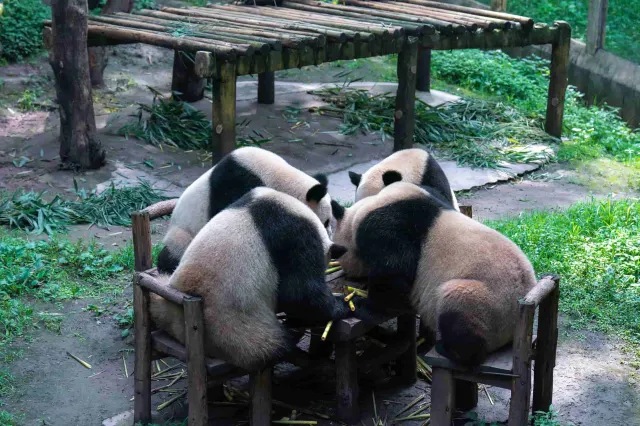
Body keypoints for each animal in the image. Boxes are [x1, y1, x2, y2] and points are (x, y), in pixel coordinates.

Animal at [150, 188, 350, 372]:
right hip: (238, 333)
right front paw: (344, 305)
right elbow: (299, 294)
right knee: (273, 344)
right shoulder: (295, 236)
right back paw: (292, 336)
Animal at [330, 181, 536, 364]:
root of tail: (515, 328)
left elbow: (394, 274)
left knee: (457, 307)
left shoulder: (389, 229)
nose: (347, 274)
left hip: (486, 303)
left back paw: (450, 350)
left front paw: (362, 305)